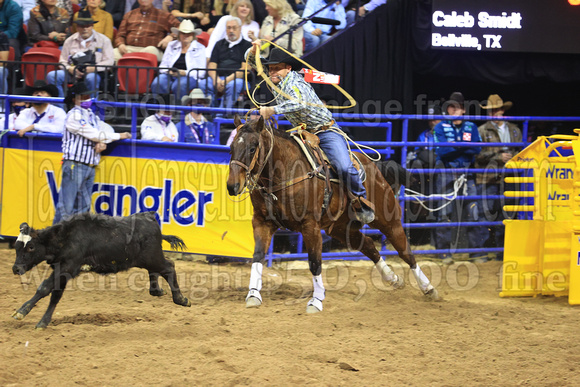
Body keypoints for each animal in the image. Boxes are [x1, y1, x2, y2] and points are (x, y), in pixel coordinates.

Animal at [11, 212, 190, 330]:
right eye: (16, 246)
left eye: (31, 247)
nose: (16, 268)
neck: (66, 238)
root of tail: (150, 218)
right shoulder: (62, 270)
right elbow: (55, 295)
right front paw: (42, 321)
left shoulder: (67, 267)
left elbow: (45, 288)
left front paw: (22, 312)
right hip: (148, 259)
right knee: (156, 271)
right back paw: (157, 291)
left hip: (153, 257)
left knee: (169, 267)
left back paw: (181, 299)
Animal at [227, 116, 440, 314]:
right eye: (231, 148)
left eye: (252, 148)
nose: (232, 186)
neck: (284, 172)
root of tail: (375, 167)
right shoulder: (262, 222)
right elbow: (258, 256)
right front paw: (253, 295)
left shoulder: (310, 226)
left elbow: (315, 263)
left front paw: (316, 301)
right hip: (340, 228)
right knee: (368, 245)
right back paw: (392, 278)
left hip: (388, 220)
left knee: (405, 252)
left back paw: (428, 288)